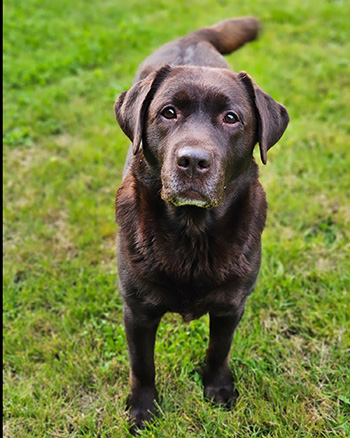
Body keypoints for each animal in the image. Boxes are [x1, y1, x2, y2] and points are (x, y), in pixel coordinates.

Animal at [113, 18, 288, 434]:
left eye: (231, 118)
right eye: (168, 113)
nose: (193, 161)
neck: (192, 232)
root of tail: (192, 38)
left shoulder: (231, 305)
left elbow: (218, 350)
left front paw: (218, 389)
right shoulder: (136, 310)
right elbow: (142, 365)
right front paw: (143, 409)